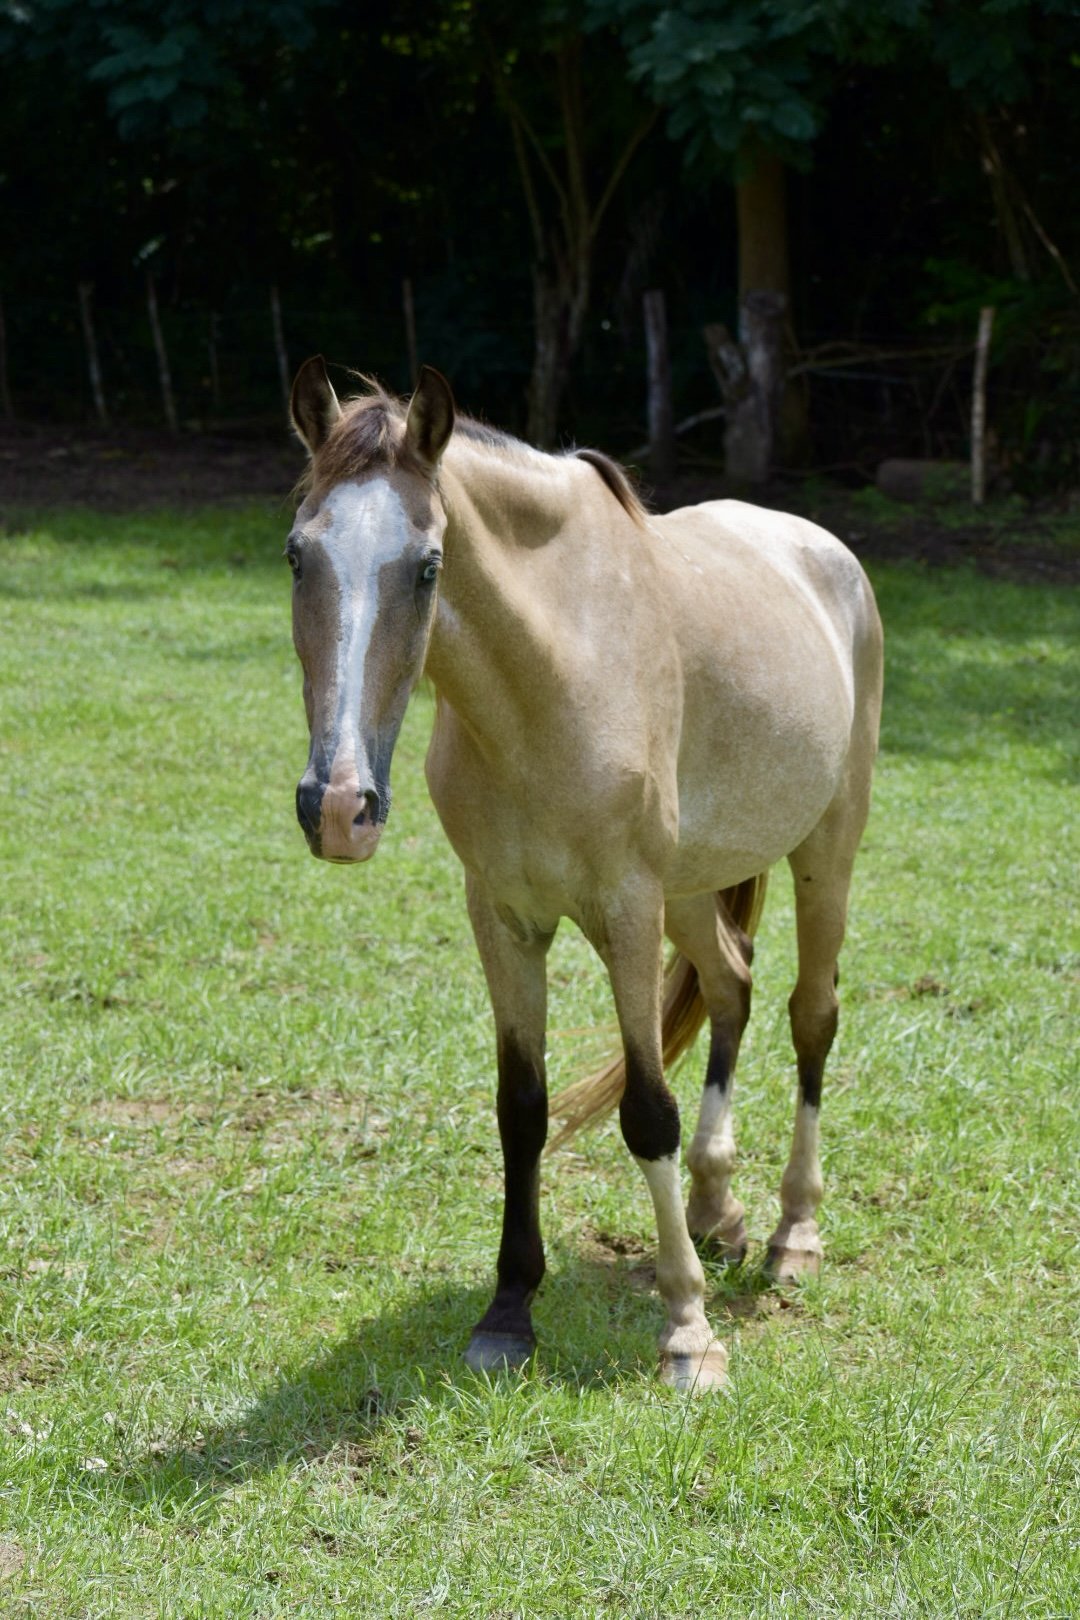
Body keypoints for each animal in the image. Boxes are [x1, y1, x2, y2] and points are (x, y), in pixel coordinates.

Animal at [285, 357, 883, 1393]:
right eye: (296, 555)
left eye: (428, 566)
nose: (339, 805)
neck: (553, 677)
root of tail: (825, 553)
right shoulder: (503, 915)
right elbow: (520, 1109)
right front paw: (507, 1313)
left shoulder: (624, 910)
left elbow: (648, 1112)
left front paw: (688, 1333)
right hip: (691, 890)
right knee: (731, 985)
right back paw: (718, 1209)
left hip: (823, 853)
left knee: (812, 1014)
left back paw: (792, 1234)